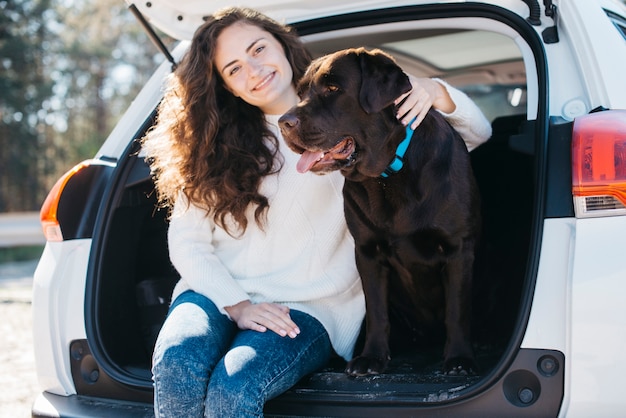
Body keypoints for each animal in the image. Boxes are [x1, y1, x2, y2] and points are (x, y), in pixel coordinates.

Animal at [278, 47, 478, 378]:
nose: (284, 122)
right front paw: (371, 357)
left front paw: (460, 358)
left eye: (333, 88)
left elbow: (458, 310)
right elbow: (376, 310)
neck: (389, 174)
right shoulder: (367, 252)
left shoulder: (458, 247)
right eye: (302, 92)